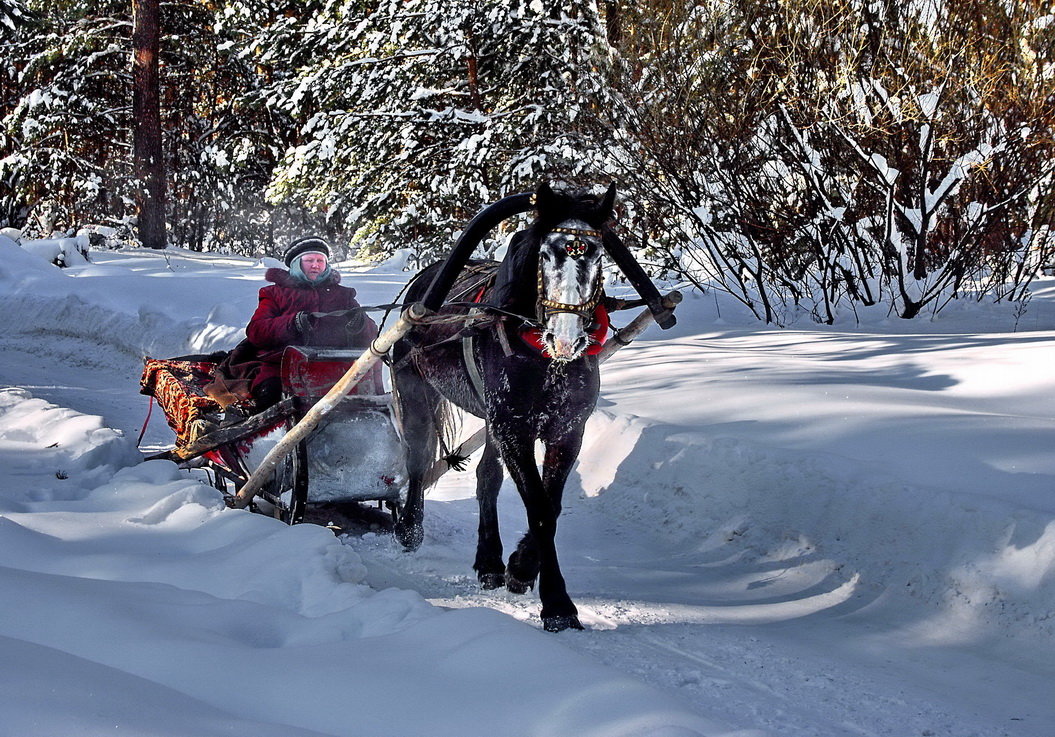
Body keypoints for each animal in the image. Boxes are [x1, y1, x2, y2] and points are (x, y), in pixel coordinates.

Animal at [390, 181, 616, 632]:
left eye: (598, 255)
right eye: (545, 254)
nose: (566, 338)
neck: (546, 359)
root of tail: (422, 284)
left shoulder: (567, 428)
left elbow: (550, 504)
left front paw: (521, 567)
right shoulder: (513, 428)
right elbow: (539, 507)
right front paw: (557, 603)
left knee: (486, 477)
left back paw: (490, 560)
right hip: (418, 393)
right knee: (419, 462)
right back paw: (409, 528)